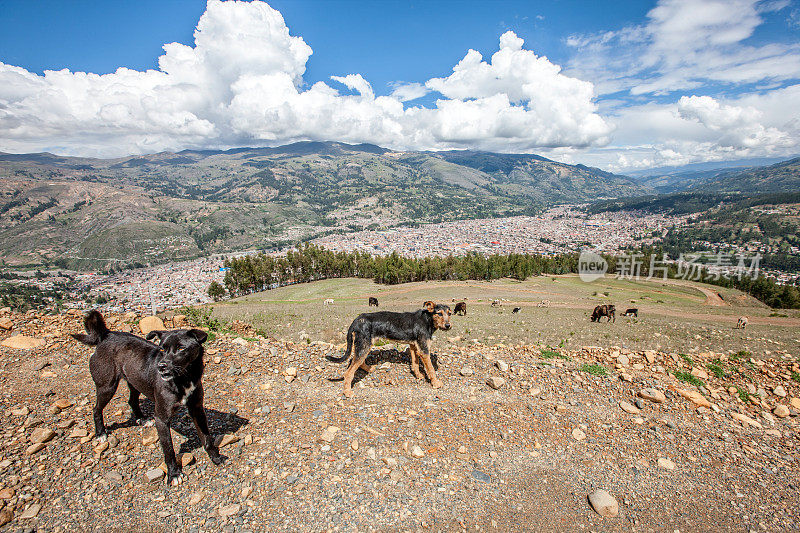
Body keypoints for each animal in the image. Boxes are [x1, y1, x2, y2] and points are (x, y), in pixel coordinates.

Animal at [72, 310, 223, 484]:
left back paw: (142, 419)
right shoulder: (161, 418)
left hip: (135, 381)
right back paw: (101, 433)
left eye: (181, 348)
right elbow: (169, 449)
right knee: (96, 409)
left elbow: (207, 438)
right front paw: (174, 474)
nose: (161, 366)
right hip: (107, 387)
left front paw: (215, 457)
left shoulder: (197, 410)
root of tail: (106, 335)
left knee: (132, 400)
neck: (184, 379)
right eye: (162, 350)